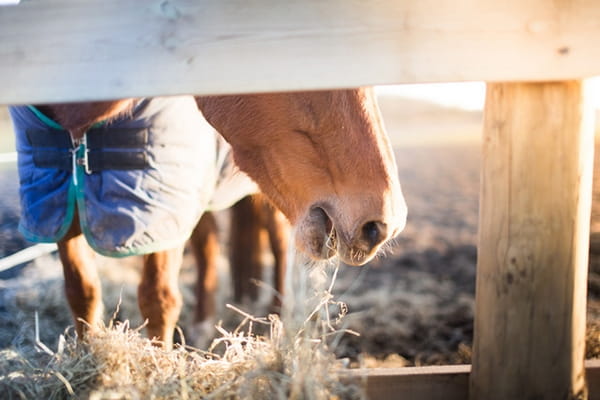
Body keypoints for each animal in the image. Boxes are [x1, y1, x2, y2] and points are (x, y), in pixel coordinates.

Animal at [9, 89, 406, 348]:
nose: (384, 223)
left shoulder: (163, 213)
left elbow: (158, 299)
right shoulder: (60, 209)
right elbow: (82, 292)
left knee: (276, 242)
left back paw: (277, 317)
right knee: (212, 245)